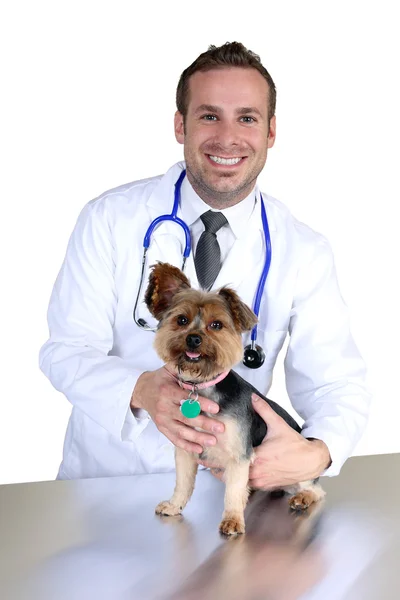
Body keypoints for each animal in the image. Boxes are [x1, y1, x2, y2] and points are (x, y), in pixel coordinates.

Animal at [144, 262, 324, 536]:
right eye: (181, 320)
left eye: (216, 325)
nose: (193, 338)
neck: (201, 387)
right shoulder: (186, 449)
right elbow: (183, 483)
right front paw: (175, 505)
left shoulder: (239, 456)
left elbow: (233, 492)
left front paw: (232, 520)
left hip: (301, 468)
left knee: (316, 489)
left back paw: (302, 498)